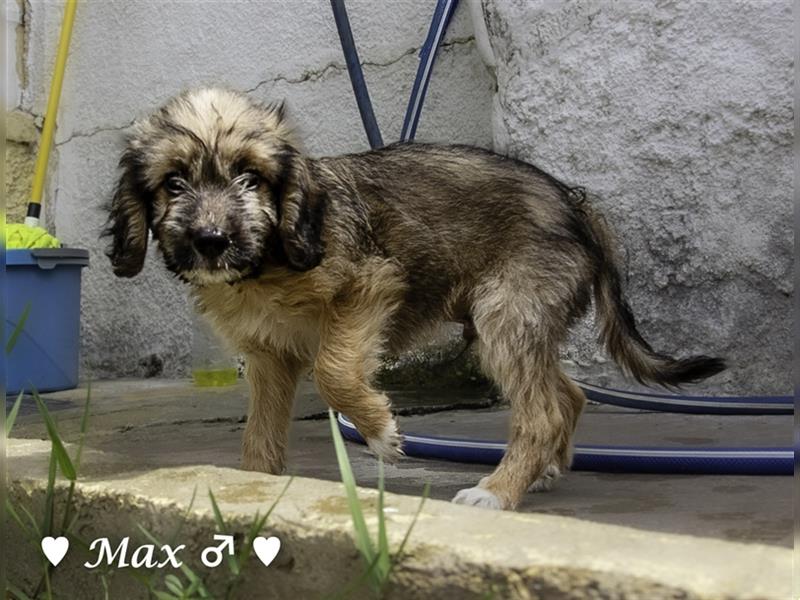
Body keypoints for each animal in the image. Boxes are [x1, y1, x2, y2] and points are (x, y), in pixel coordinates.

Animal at [103, 88, 720, 510]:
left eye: (251, 179)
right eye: (173, 183)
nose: (211, 240)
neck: (269, 260)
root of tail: (574, 203)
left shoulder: (367, 288)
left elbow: (333, 370)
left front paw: (379, 430)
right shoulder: (269, 355)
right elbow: (261, 434)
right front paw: (253, 487)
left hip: (506, 315)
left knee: (543, 409)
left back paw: (497, 491)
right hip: (517, 322)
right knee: (567, 395)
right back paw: (540, 472)